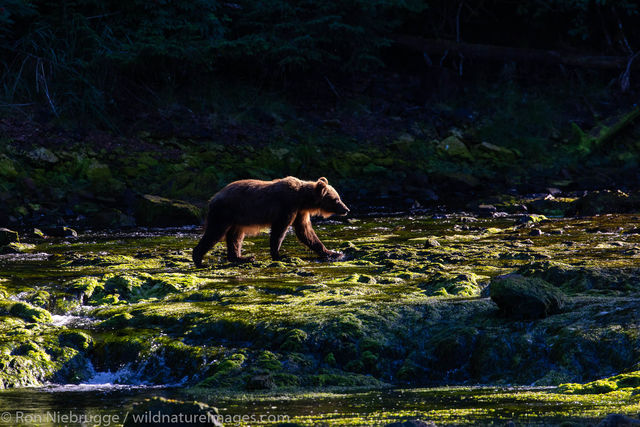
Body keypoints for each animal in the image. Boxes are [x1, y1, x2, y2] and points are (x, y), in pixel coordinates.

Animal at [192, 176, 350, 266]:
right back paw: (199, 259)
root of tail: (213, 198)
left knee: (235, 237)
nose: (346, 209)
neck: (303, 200)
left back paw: (242, 257)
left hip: (237, 219)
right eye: (336, 199)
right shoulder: (287, 206)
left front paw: (333, 253)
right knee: (215, 233)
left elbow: (306, 232)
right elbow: (280, 230)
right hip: (225, 213)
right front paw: (280, 255)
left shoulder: (300, 212)